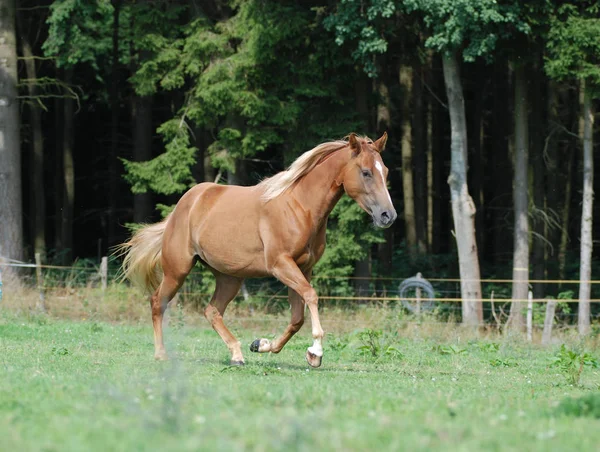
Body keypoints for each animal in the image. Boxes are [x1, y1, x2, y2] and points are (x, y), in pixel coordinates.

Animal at [119, 131, 396, 368]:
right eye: (366, 172)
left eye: (385, 171)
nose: (388, 216)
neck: (300, 207)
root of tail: (183, 206)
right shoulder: (280, 264)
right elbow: (311, 296)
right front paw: (316, 352)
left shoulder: (303, 268)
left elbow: (297, 318)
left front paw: (262, 345)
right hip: (178, 270)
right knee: (158, 302)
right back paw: (161, 354)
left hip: (229, 277)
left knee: (212, 311)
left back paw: (237, 355)